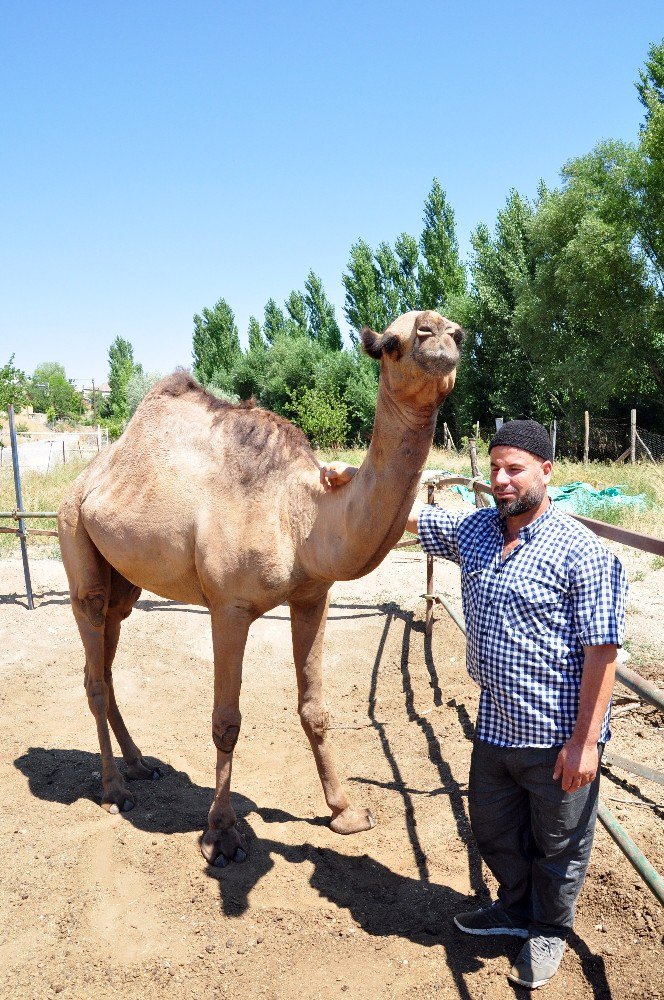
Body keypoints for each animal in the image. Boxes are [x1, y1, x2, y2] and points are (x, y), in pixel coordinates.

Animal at [58, 312, 462, 868]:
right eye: (391, 344)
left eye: (458, 334)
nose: (438, 332)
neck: (300, 516)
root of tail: (85, 478)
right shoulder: (228, 606)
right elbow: (226, 720)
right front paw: (222, 835)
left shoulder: (313, 596)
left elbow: (315, 708)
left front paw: (345, 812)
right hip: (74, 535)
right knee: (94, 661)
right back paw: (115, 790)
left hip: (123, 580)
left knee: (106, 657)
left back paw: (140, 765)